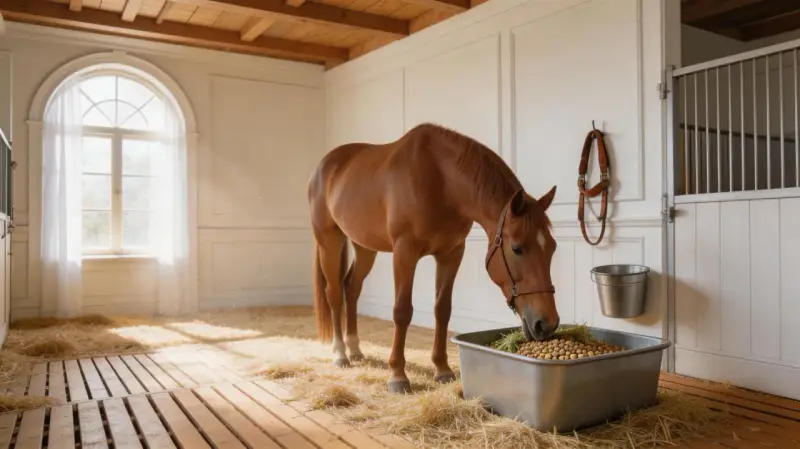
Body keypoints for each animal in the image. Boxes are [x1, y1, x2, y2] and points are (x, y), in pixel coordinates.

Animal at [308, 123, 560, 394]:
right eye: (517, 248)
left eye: (552, 248)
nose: (547, 323)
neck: (441, 181)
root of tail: (324, 166)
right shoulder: (404, 252)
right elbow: (402, 311)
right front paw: (397, 375)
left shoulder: (451, 254)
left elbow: (442, 309)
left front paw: (442, 369)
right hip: (329, 241)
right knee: (334, 293)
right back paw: (340, 354)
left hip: (365, 247)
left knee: (351, 288)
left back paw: (354, 349)